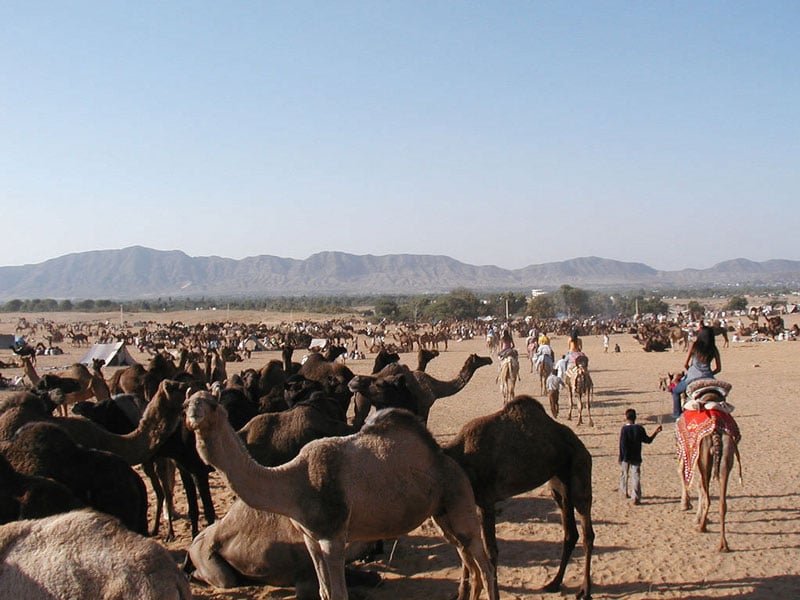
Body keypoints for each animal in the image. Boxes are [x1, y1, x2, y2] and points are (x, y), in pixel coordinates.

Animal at [186, 392, 500, 600]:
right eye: (187, 403)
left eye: (212, 403)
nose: (193, 416)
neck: (293, 484)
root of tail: (446, 459)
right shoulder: (310, 538)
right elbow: (325, 592)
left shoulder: (333, 535)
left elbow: (338, 593)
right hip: (441, 514)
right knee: (466, 558)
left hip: (459, 499)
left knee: (484, 564)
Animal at [444, 394, 592, 600]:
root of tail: (580, 444)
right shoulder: (467, 503)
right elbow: (467, 549)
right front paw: (462, 594)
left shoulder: (486, 502)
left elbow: (490, 552)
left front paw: (494, 594)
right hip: (559, 484)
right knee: (570, 532)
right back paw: (554, 583)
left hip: (580, 471)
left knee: (587, 532)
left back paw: (585, 590)